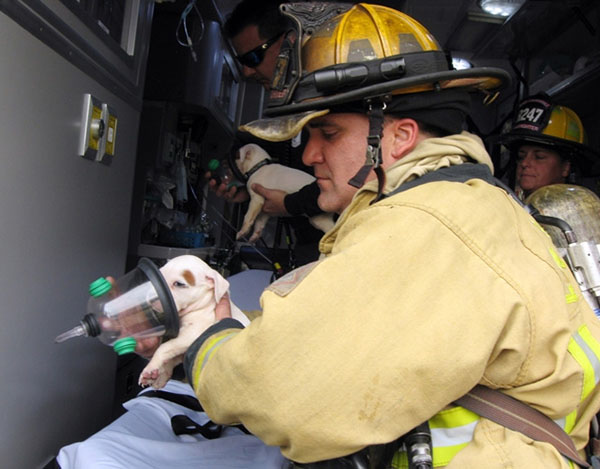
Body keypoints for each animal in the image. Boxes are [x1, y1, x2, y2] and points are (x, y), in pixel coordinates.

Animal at [138, 256, 248, 388]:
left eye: (179, 284)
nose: (150, 297)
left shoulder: (193, 333)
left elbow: (164, 347)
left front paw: (151, 367)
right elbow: (170, 354)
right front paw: (156, 374)